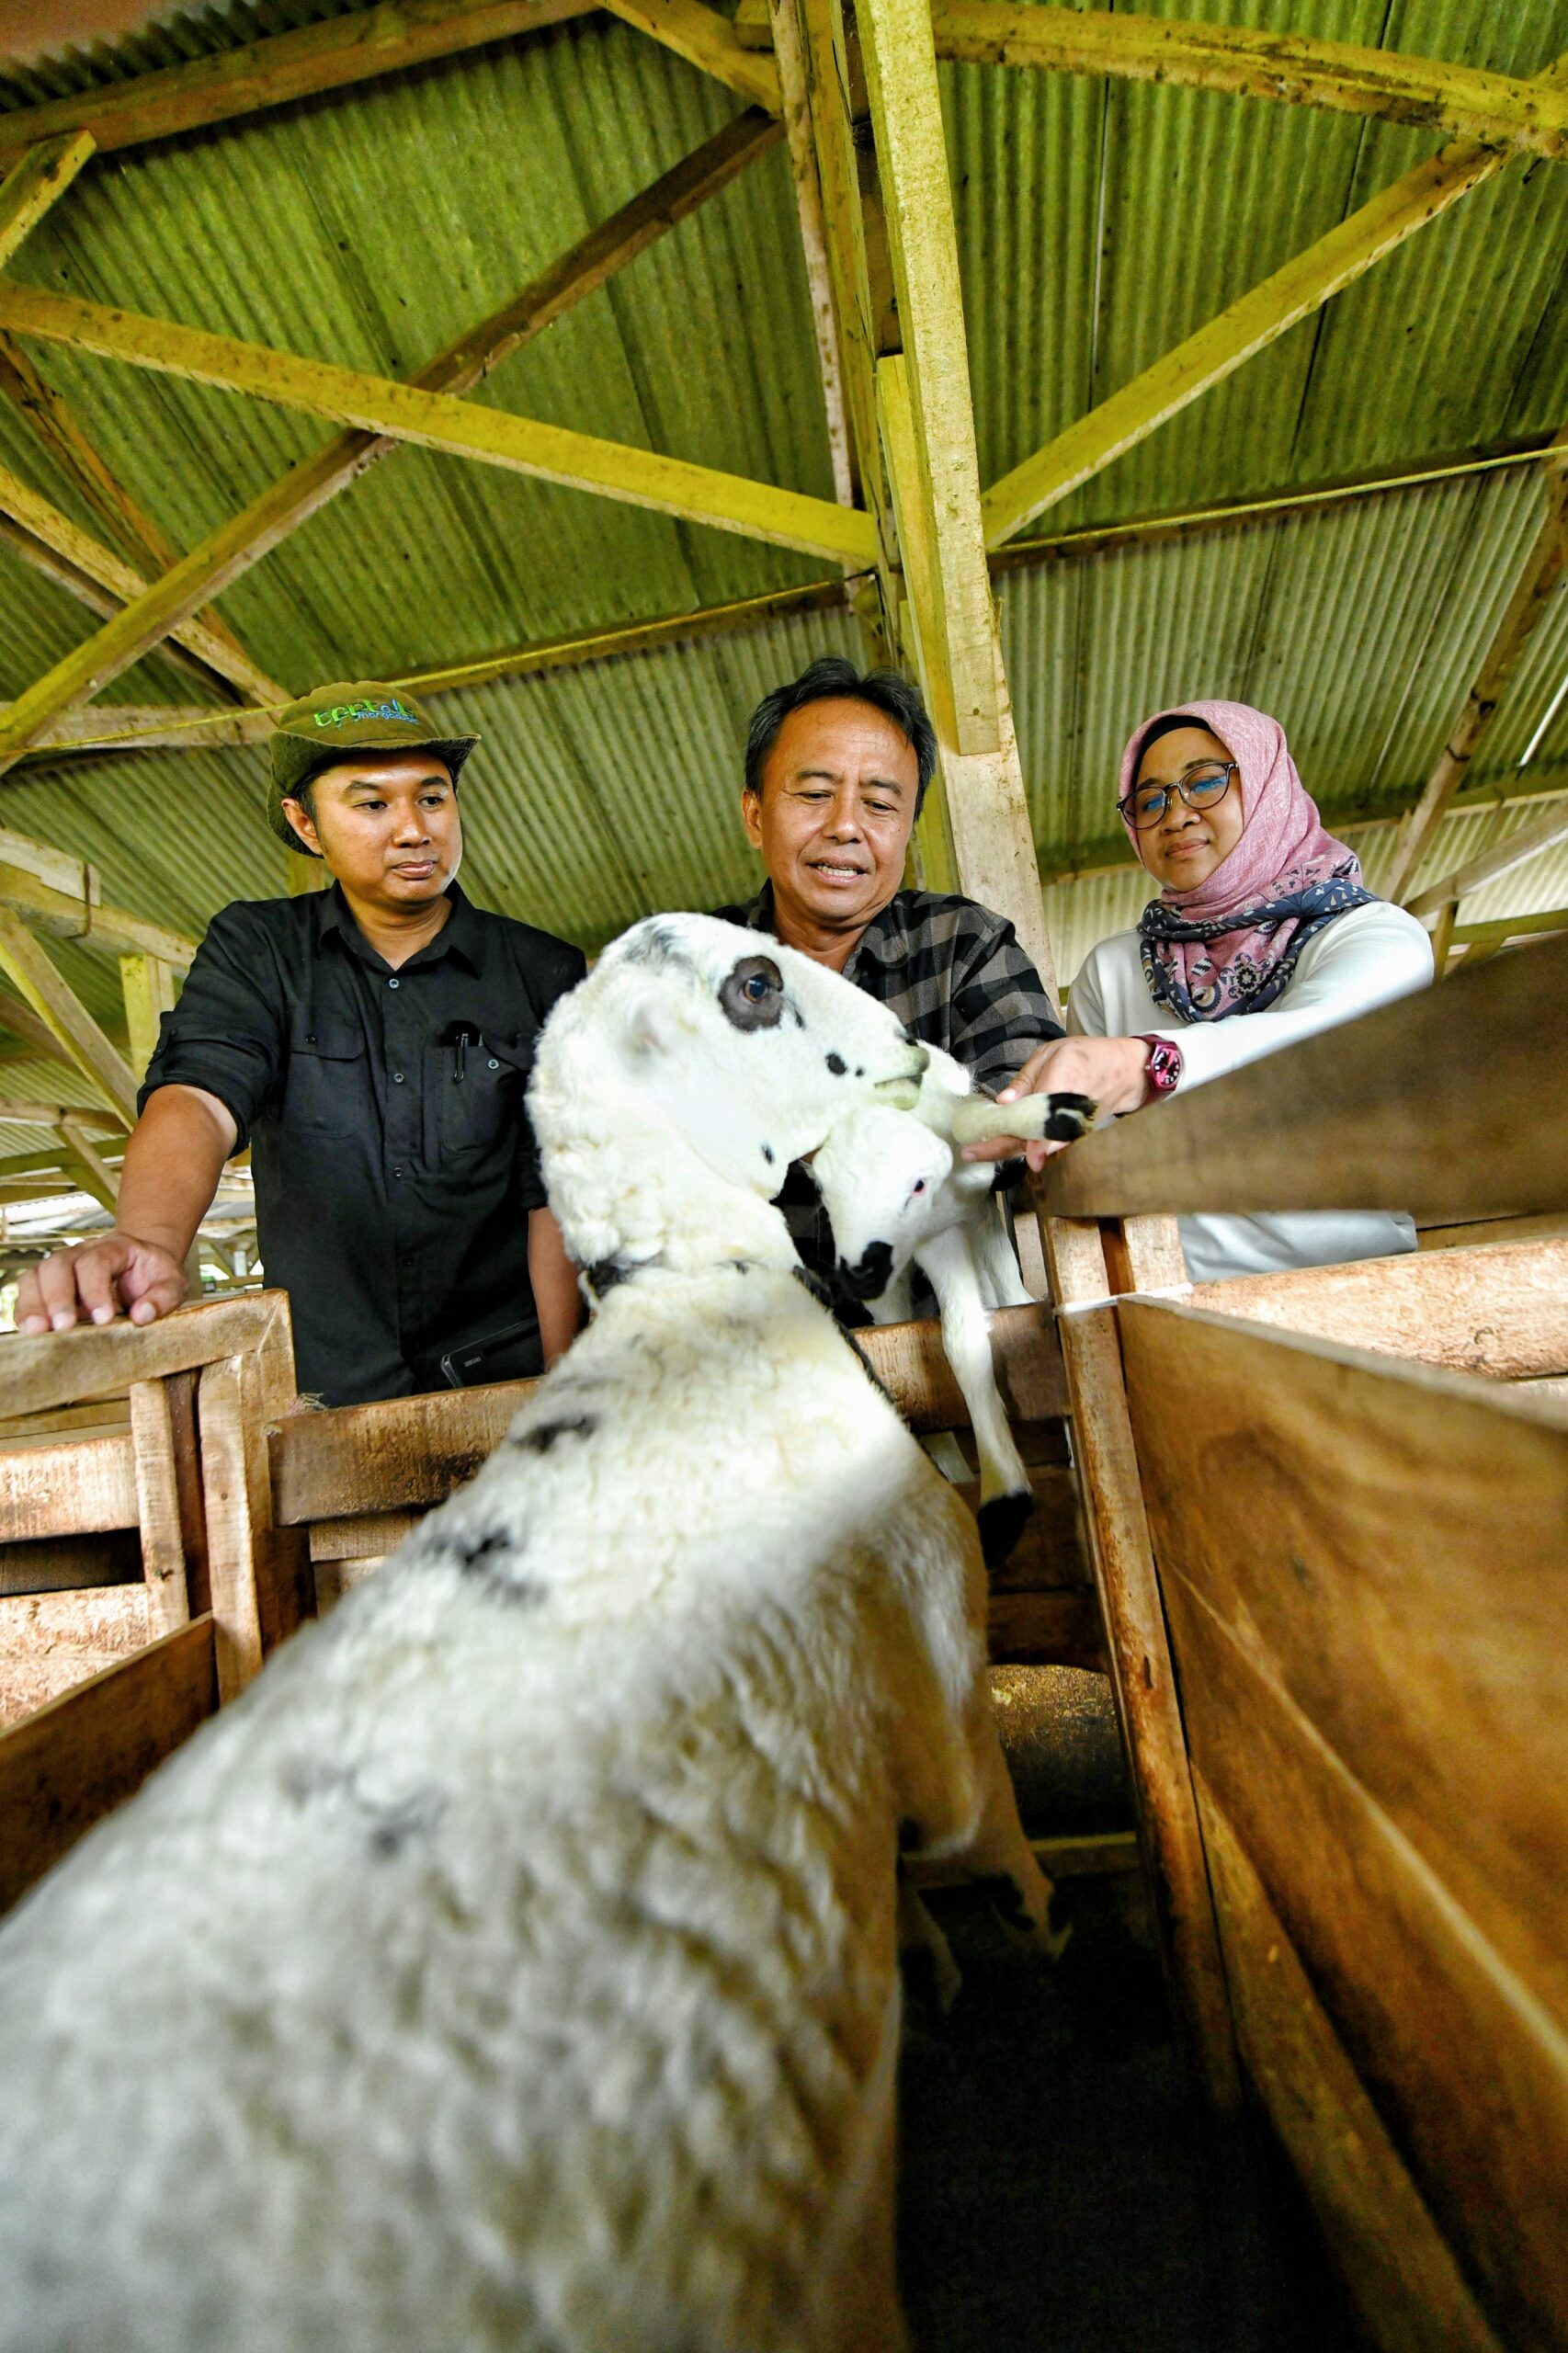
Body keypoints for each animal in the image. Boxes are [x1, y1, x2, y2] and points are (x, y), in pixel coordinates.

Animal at [805, 1049, 1087, 1562]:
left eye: (916, 1185)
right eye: (823, 1191)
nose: (859, 1273)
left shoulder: (959, 1216)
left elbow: (969, 1118)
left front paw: (1051, 1113)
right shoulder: (934, 1244)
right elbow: (948, 1344)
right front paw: (1002, 1501)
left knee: (1009, 1291)